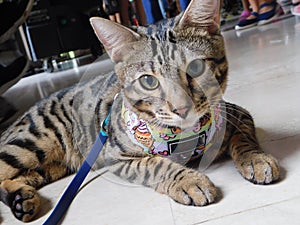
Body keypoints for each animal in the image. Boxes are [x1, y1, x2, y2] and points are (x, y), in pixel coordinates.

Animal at [1, 0, 280, 221]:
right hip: (32, 143)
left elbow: (244, 136)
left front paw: (255, 158)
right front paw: (189, 180)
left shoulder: (236, 113)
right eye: (148, 81)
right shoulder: (114, 155)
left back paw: (21, 199)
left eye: (196, 67)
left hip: (50, 166)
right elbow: (155, 164)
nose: (182, 108)